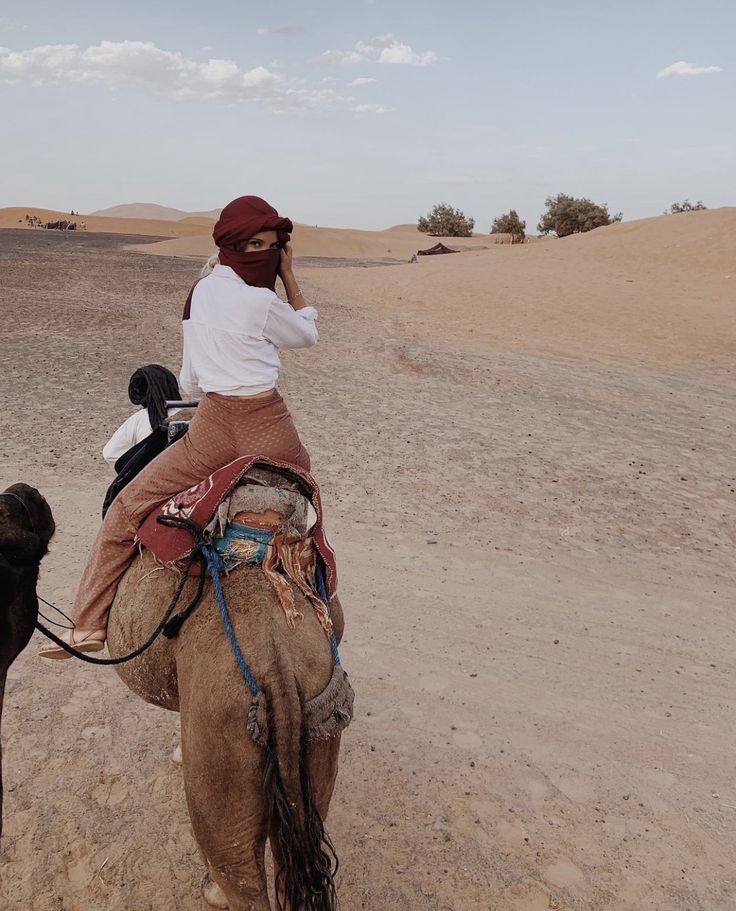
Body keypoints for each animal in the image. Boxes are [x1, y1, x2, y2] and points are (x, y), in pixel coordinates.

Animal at [105, 492, 354, 911]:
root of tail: (277, 667)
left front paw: (179, 753)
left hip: (221, 744)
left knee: (237, 871)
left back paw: (215, 891)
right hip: (318, 743)